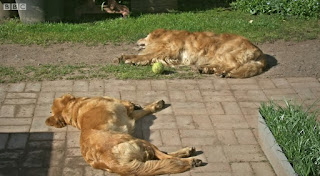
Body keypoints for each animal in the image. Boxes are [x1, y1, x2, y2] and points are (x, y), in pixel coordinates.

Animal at [119, 28, 266, 77]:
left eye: (146, 36)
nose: (137, 41)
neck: (166, 36)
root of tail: (259, 51)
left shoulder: (167, 50)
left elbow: (146, 55)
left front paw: (128, 58)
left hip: (225, 52)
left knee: (232, 65)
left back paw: (220, 72)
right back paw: (206, 69)